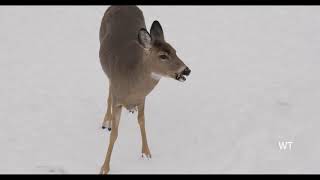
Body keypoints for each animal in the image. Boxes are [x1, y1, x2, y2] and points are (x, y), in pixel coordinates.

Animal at [99, 5, 191, 174]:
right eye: (163, 56)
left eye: (175, 51)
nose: (187, 70)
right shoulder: (117, 96)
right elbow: (114, 133)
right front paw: (104, 168)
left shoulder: (142, 99)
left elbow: (142, 122)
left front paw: (146, 153)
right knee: (108, 90)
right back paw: (106, 121)